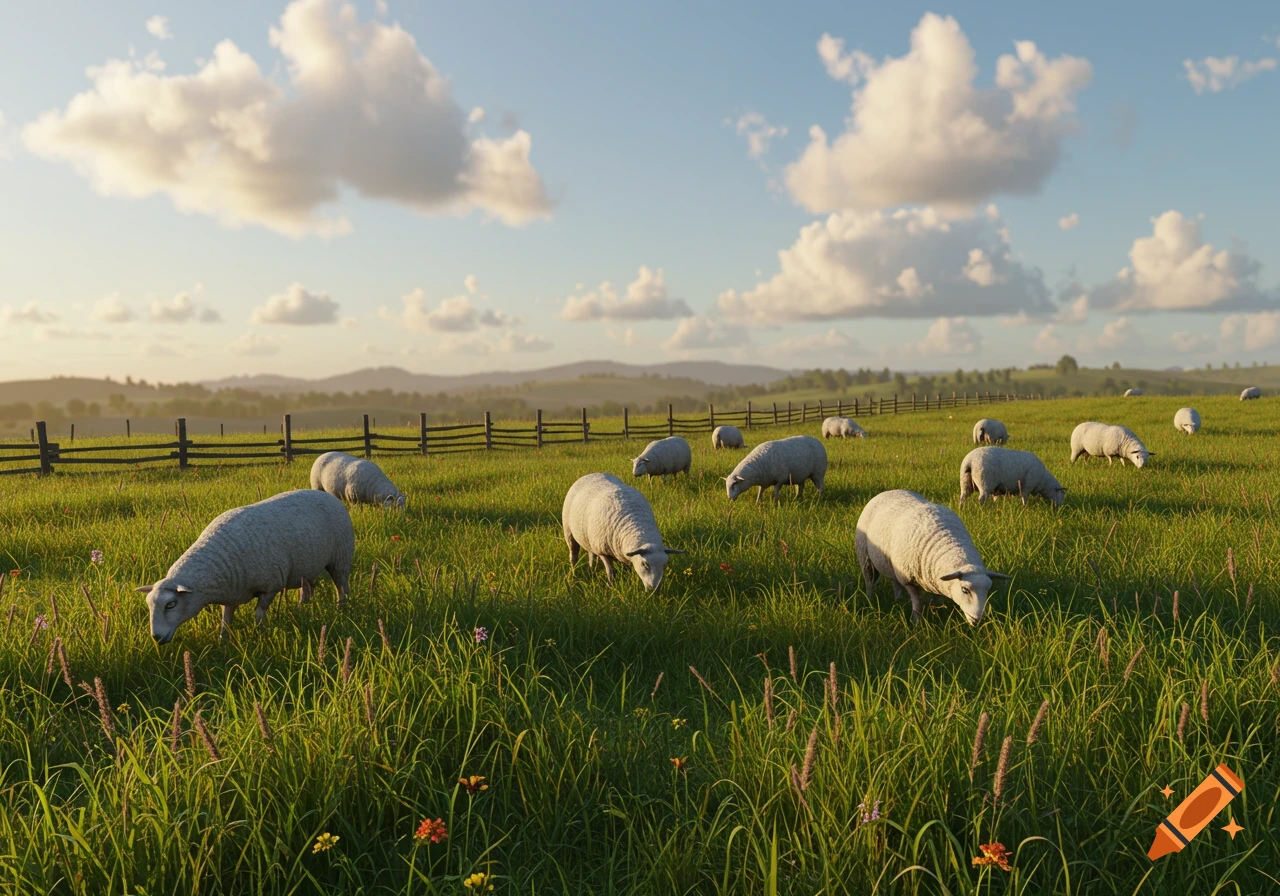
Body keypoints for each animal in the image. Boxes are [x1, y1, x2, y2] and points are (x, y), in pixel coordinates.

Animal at [135, 490, 355, 644]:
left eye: (170, 604)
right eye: (149, 605)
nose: (156, 637)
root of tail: (329, 496)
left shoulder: (270, 587)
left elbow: (258, 614)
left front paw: (260, 634)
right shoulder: (231, 594)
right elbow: (225, 620)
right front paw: (223, 642)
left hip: (340, 558)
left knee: (342, 587)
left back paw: (341, 610)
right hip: (307, 567)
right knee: (308, 589)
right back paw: (302, 610)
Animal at [856, 489, 1010, 625]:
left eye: (988, 590)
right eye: (965, 590)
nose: (977, 619)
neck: (950, 541)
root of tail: (889, 491)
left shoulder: (937, 581)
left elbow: (935, 600)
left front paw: (932, 610)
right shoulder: (907, 579)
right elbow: (917, 603)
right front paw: (916, 621)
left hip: (890, 566)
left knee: (895, 583)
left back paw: (898, 600)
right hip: (865, 557)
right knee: (869, 580)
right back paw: (870, 599)